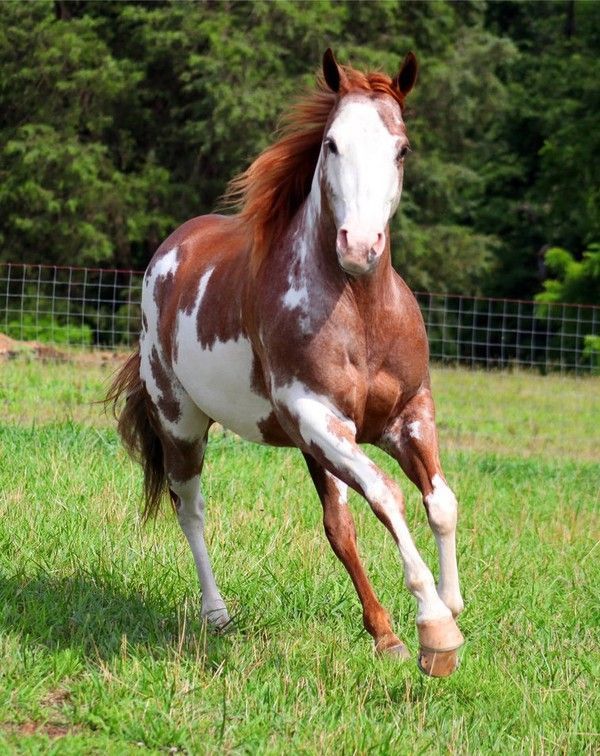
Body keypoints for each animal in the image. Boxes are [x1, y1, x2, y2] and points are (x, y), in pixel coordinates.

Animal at [109, 50, 464, 676]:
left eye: (401, 148)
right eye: (331, 144)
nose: (359, 246)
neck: (360, 312)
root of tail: (170, 251)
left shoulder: (407, 414)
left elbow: (439, 502)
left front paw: (451, 606)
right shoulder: (319, 417)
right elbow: (388, 496)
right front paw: (435, 628)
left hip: (311, 447)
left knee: (338, 527)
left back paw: (383, 634)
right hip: (183, 424)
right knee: (190, 508)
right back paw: (217, 615)